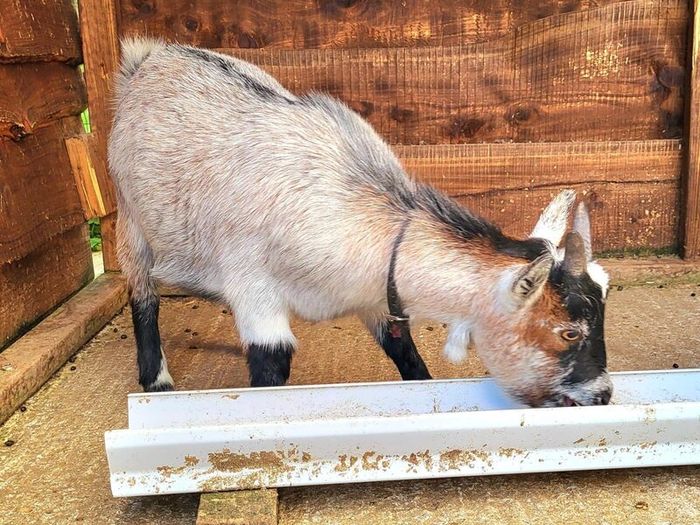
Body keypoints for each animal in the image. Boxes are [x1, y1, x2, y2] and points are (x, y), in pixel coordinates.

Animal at [108, 38, 612, 407]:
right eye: (569, 331)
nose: (604, 394)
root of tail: (148, 58)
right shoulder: (255, 291)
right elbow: (271, 369)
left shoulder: (378, 297)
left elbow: (407, 355)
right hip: (129, 217)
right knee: (142, 295)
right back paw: (156, 379)